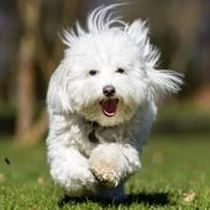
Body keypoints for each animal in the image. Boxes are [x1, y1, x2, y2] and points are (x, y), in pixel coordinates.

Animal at [46, 4, 182, 199]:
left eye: (120, 70)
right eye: (92, 72)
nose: (109, 90)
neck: (98, 124)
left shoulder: (129, 145)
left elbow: (114, 153)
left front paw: (103, 170)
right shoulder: (62, 141)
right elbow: (68, 163)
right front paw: (84, 176)